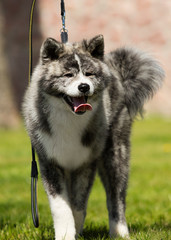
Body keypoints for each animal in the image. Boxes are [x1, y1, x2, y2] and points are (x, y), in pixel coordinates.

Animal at [22, 34, 164, 239]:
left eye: (89, 74)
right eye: (68, 75)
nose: (83, 87)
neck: (69, 117)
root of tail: (117, 73)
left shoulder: (85, 163)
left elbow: (78, 204)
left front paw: (75, 229)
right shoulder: (49, 162)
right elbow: (61, 206)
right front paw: (66, 234)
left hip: (115, 154)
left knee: (116, 196)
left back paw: (119, 232)